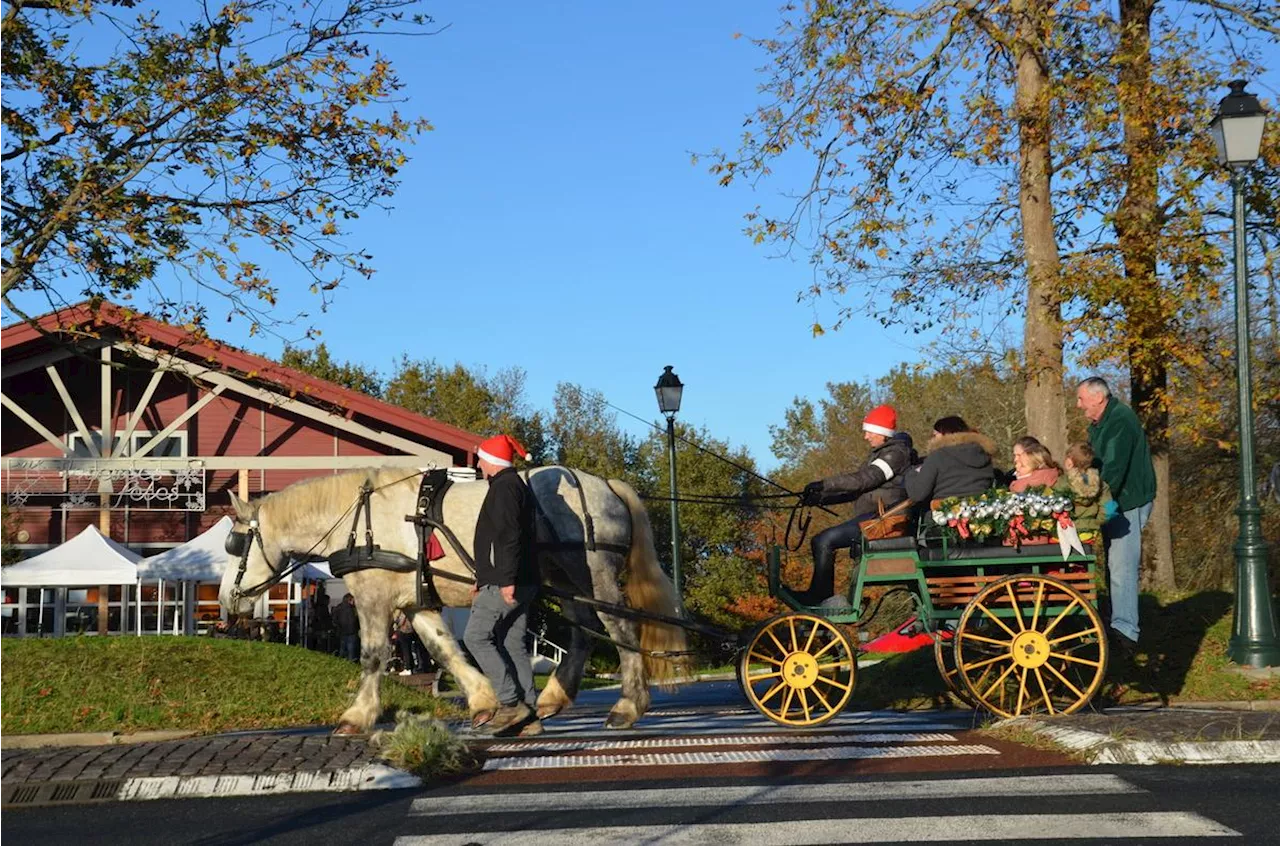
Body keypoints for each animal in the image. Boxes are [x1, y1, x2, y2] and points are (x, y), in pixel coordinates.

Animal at [217, 468, 691, 732]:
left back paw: (628, 705)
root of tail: (605, 485)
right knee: (583, 631)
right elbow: (445, 650)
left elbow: (373, 655)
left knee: (620, 628)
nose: (225, 600)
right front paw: (484, 701)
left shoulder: (372, 596)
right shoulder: (415, 603)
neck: (358, 519)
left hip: (593, 573)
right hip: (566, 579)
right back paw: (555, 696)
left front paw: (358, 715)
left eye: (235, 545)